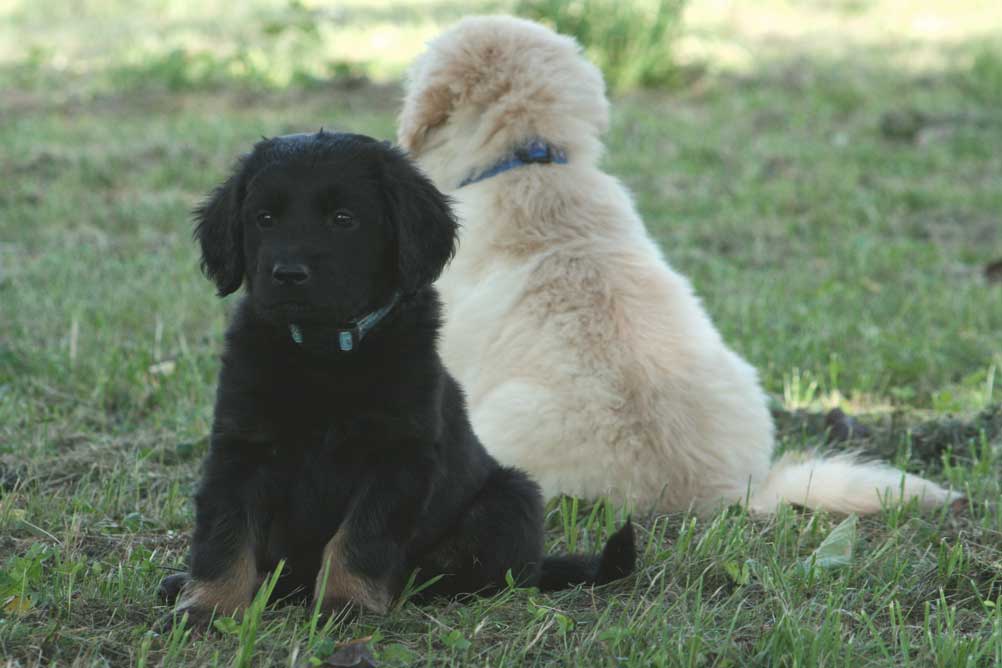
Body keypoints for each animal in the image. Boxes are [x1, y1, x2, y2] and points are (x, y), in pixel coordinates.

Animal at [161, 132, 633, 628]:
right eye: (264, 219)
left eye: (344, 219)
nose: (288, 274)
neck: (322, 355)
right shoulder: (240, 446)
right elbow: (224, 535)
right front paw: (208, 607)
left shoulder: (398, 455)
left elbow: (358, 539)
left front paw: (344, 603)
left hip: (510, 499)